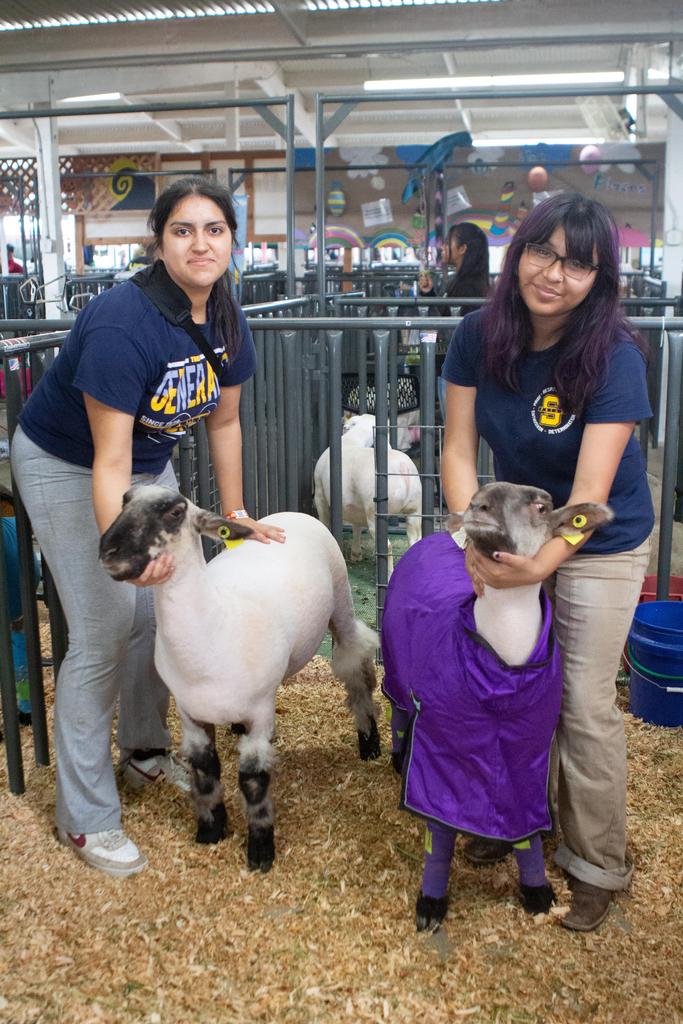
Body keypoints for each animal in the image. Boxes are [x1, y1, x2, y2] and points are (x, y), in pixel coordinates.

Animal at [99, 486, 381, 873]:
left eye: (174, 512)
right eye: (124, 501)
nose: (107, 551)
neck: (212, 628)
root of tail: (294, 514)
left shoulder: (259, 713)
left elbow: (253, 782)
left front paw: (260, 851)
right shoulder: (190, 715)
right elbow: (205, 772)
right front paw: (211, 830)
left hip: (341, 603)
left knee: (356, 665)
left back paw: (369, 741)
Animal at [313, 413, 422, 571]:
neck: (353, 439)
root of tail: (403, 468)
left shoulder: (320, 495)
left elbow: (325, 521)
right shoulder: (355, 507)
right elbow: (356, 527)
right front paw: (356, 554)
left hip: (375, 513)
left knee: (387, 546)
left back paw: (389, 573)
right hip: (414, 508)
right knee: (415, 540)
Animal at [381, 481, 613, 932]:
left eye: (541, 506)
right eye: (477, 496)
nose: (477, 507)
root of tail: (434, 538)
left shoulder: (528, 752)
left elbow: (526, 832)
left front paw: (538, 893)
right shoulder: (444, 754)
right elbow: (440, 834)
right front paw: (431, 904)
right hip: (396, 661)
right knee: (399, 712)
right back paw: (399, 758)